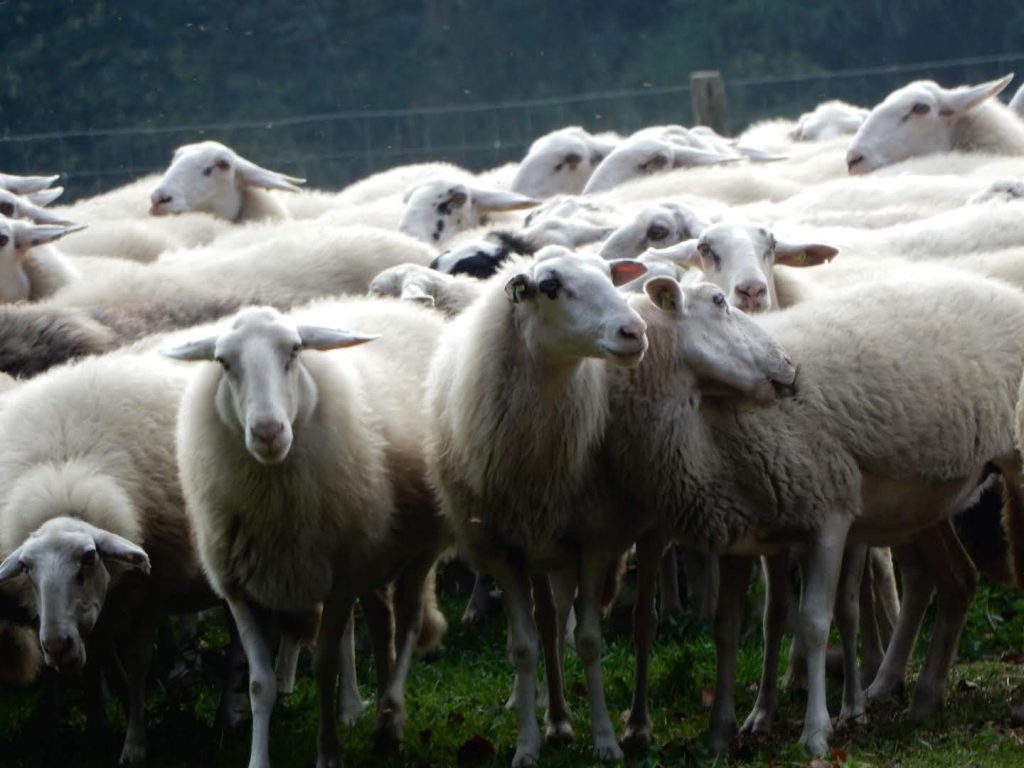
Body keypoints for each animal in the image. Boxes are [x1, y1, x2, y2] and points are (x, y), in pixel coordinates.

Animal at [0, 353, 221, 764]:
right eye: (27, 570)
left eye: (89, 558)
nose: (57, 647)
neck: (64, 475)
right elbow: (88, 666)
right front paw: (88, 733)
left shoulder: (151, 589)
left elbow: (137, 664)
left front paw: (134, 744)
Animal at [166, 297, 452, 768]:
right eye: (223, 362)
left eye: (295, 351)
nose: (267, 432)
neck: (273, 506)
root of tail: (404, 309)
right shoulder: (239, 589)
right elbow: (259, 683)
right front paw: (258, 758)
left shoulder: (338, 582)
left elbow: (323, 667)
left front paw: (329, 753)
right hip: (373, 551)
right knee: (382, 626)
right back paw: (381, 720)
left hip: (421, 546)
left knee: (408, 623)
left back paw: (392, 714)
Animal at [426, 247, 648, 766]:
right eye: (549, 286)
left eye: (610, 277)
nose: (634, 331)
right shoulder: (502, 552)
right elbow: (525, 647)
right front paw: (526, 744)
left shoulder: (593, 541)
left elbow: (587, 640)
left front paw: (606, 740)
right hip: (536, 552)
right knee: (542, 626)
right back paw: (547, 711)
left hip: (560, 551)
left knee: (558, 622)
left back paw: (562, 713)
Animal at [608, 272, 1024, 756]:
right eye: (718, 302)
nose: (789, 365)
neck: (705, 434)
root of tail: (1006, 290)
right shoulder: (739, 530)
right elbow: (728, 629)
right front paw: (721, 731)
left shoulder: (829, 513)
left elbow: (813, 623)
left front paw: (816, 732)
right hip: (924, 500)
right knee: (957, 580)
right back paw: (920, 700)